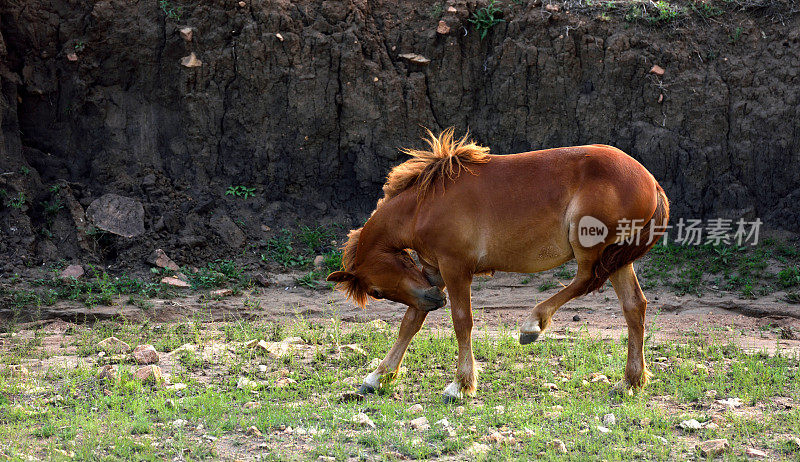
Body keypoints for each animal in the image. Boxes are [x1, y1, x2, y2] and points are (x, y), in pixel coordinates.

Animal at [326, 128, 668, 402]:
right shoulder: (432, 273)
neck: (423, 205)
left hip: (590, 246)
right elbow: (411, 321)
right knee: (634, 306)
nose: (436, 301)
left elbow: (462, 322)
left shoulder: (455, 269)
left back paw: (533, 323)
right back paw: (630, 382)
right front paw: (377, 377)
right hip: (618, 258)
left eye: (375, 292)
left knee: (585, 279)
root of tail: (651, 181)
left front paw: (460, 385)